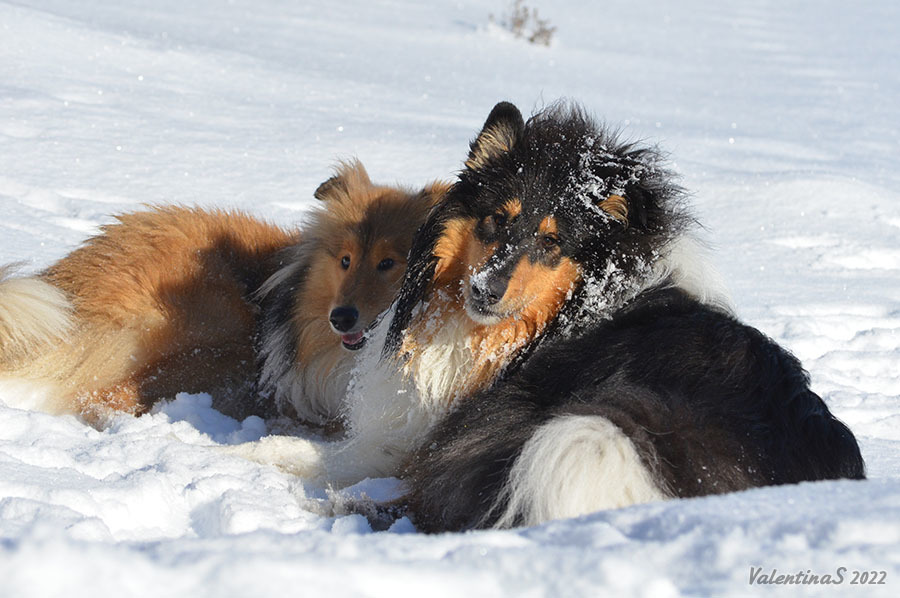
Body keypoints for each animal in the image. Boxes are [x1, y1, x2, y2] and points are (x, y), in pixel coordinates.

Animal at [0, 162, 446, 428]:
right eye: (346, 260)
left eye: (389, 262)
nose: (341, 317)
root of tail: (68, 284)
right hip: (223, 323)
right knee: (103, 397)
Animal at [232, 102, 864, 536]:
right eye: (496, 220)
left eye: (552, 243)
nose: (484, 289)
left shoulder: (433, 431)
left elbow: (331, 453)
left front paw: (243, 454)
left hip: (569, 427)